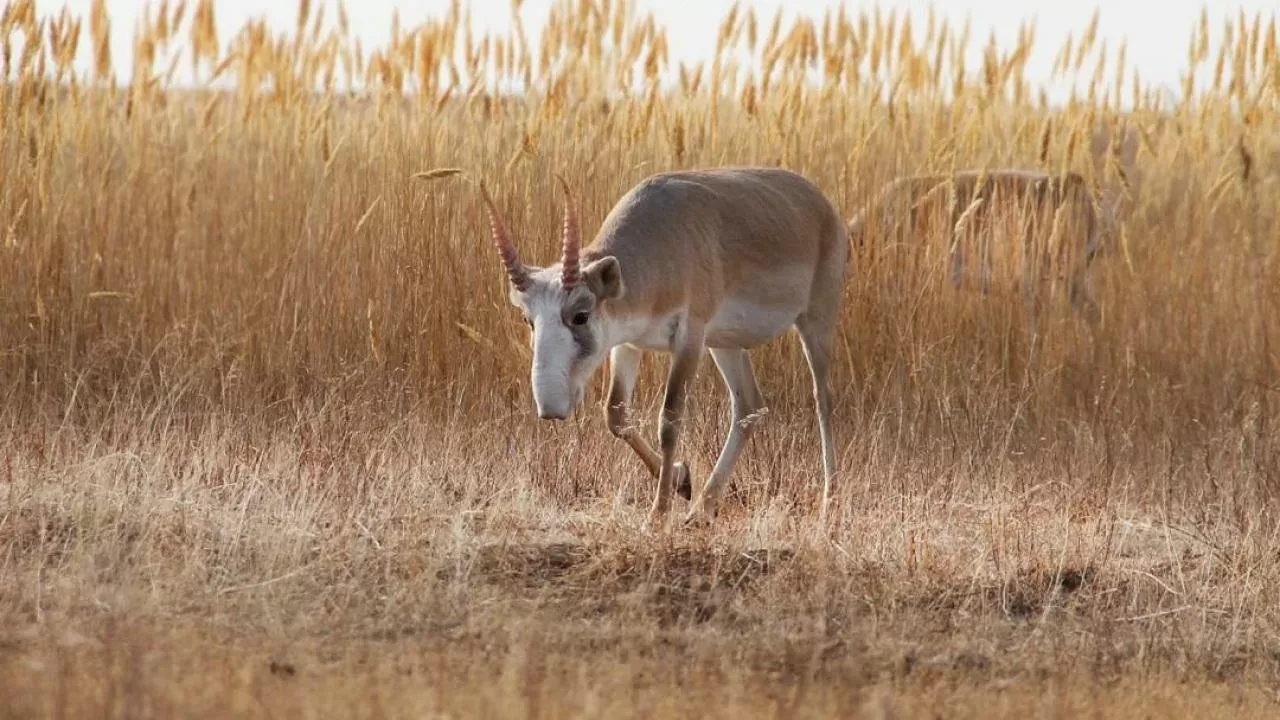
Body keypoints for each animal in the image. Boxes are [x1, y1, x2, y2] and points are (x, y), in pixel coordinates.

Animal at [481, 167, 849, 527]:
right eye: (528, 318)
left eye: (581, 315)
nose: (550, 408)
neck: (659, 243)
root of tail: (822, 205)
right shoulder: (626, 343)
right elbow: (615, 414)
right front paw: (681, 479)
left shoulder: (688, 338)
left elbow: (669, 419)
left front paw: (657, 516)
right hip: (724, 344)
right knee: (749, 406)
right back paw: (701, 510)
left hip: (815, 321)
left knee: (823, 399)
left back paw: (829, 503)